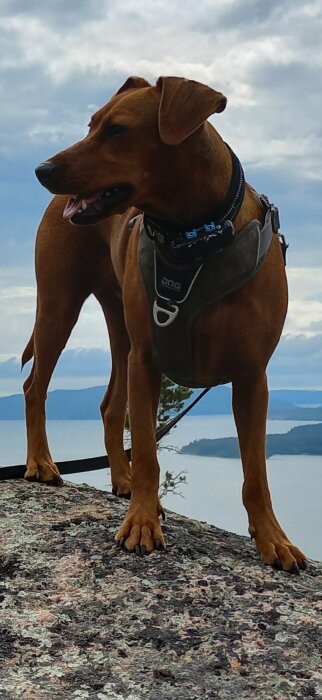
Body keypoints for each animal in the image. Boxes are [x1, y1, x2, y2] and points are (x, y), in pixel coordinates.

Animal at [25, 76, 306, 572]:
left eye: (116, 130)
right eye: (90, 125)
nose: (42, 170)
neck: (195, 236)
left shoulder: (252, 375)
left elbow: (256, 472)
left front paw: (273, 538)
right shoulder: (148, 360)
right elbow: (149, 455)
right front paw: (141, 524)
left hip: (119, 329)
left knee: (109, 406)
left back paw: (121, 479)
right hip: (59, 304)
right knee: (34, 386)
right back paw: (41, 463)